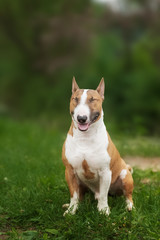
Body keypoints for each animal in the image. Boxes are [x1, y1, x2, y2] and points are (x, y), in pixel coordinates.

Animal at [62, 78, 133, 216]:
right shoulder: (70, 171)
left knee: (128, 195)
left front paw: (103, 210)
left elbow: (103, 195)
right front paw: (71, 210)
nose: (81, 118)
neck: (85, 137)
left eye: (92, 99)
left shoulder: (105, 172)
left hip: (125, 176)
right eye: (75, 99)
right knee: (80, 196)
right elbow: (74, 195)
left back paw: (129, 207)